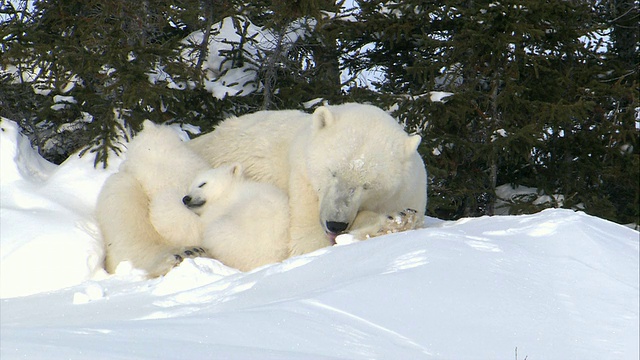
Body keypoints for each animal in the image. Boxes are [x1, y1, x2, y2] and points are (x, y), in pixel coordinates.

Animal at [186, 102, 424, 256]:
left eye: (367, 185)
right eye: (332, 172)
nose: (335, 224)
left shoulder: (407, 192)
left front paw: (399, 219)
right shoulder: (303, 183)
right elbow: (306, 243)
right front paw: (388, 223)